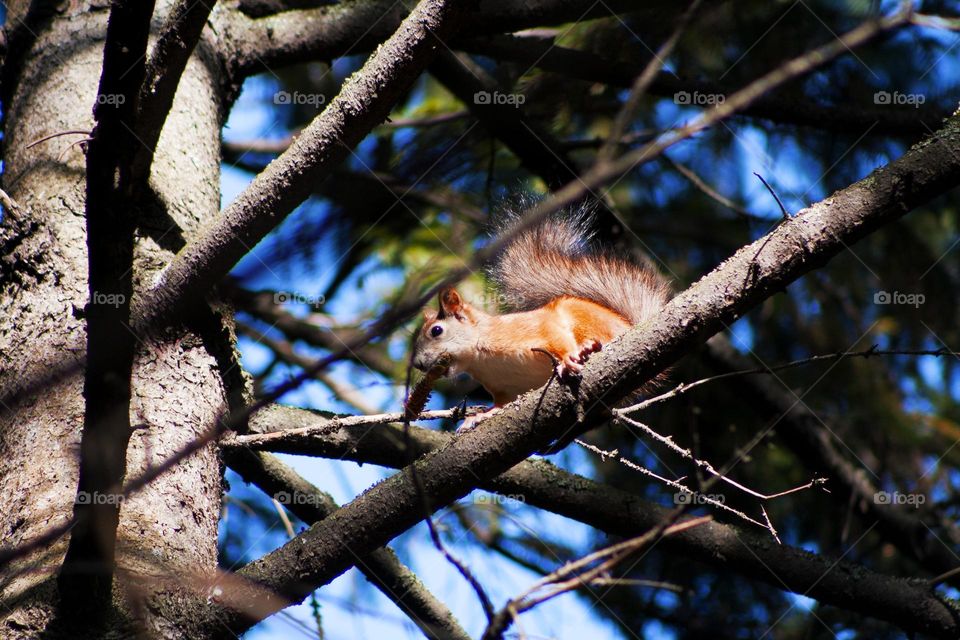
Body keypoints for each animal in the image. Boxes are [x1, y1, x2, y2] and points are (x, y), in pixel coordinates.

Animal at [412, 207, 671, 429]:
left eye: (436, 330)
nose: (418, 364)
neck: (479, 356)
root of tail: (630, 326)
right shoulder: (504, 389)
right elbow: (500, 405)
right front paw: (479, 416)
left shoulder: (534, 329)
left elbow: (556, 338)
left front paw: (568, 360)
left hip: (585, 320)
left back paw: (588, 348)